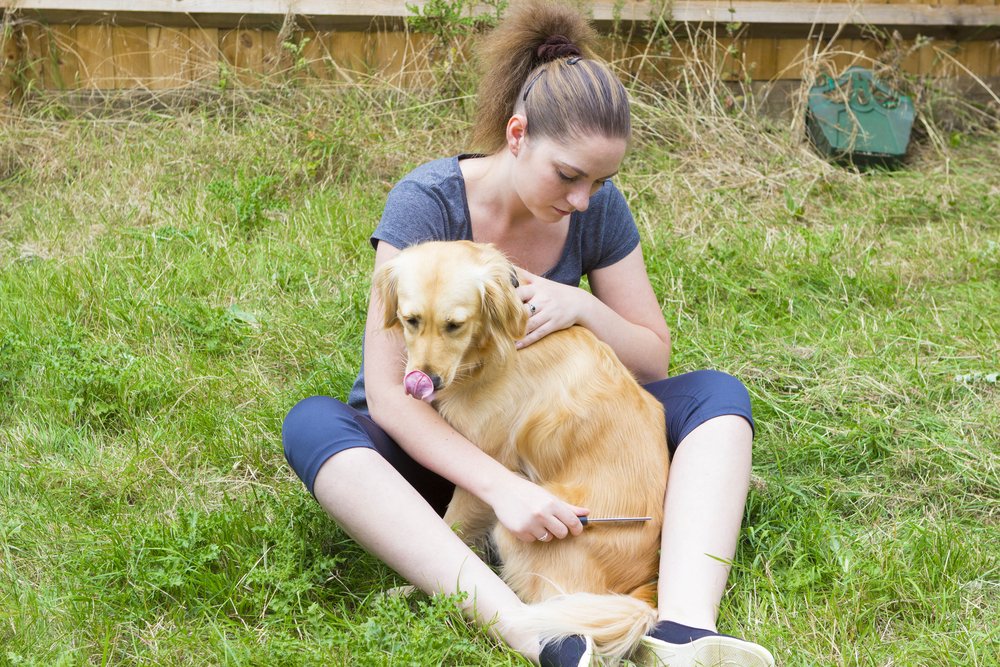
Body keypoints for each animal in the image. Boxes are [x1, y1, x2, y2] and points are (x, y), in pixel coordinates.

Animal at [376, 241, 672, 664]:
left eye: (456, 325)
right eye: (410, 320)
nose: (425, 381)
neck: (492, 348)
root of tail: (642, 591)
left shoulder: (488, 467)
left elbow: (451, 531)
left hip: (518, 531)